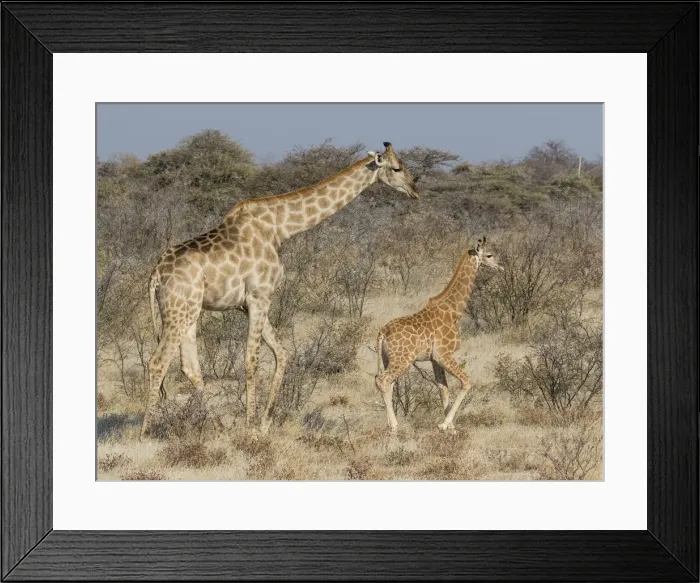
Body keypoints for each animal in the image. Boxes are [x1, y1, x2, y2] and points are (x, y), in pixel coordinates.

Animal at [140, 142, 419, 440]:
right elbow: (251, 361)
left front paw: (264, 423)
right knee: (158, 362)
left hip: (189, 311)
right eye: (397, 168)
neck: (279, 228)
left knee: (190, 366)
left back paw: (215, 426)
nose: (415, 189)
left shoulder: (248, 303)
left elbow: (282, 353)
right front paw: (250, 426)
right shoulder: (259, 296)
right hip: (178, 310)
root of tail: (156, 273)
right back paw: (145, 433)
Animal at [374, 236, 503, 433]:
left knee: (386, 382)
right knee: (383, 380)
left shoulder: (434, 359)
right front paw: (445, 424)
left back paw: (389, 424)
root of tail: (382, 332)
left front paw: (450, 427)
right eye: (489, 255)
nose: (501, 267)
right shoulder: (443, 353)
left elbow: (443, 388)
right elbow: (466, 382)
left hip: (387, 359)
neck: (455, 310)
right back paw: (395, 426)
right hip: (403, 359)